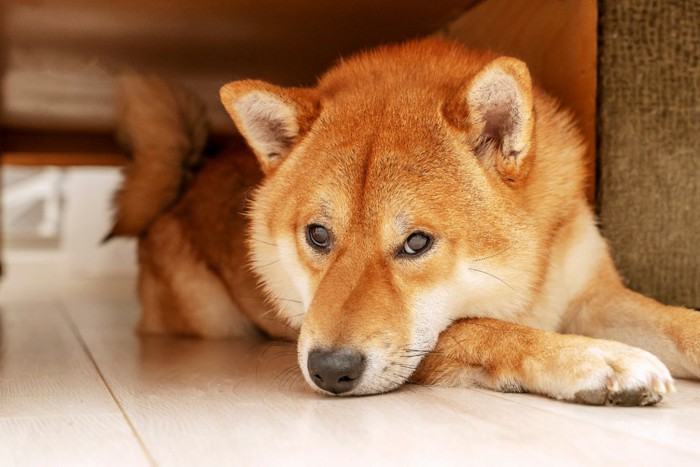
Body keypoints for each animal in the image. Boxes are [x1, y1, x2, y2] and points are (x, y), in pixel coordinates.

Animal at [106, 39, 696, 406]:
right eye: (317, 235)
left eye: (416, 243)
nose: (329, 370)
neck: (530, 282)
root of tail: (188, 177)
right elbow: (490, 329)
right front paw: (591, 357)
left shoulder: (592, 296)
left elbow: (672, 320)